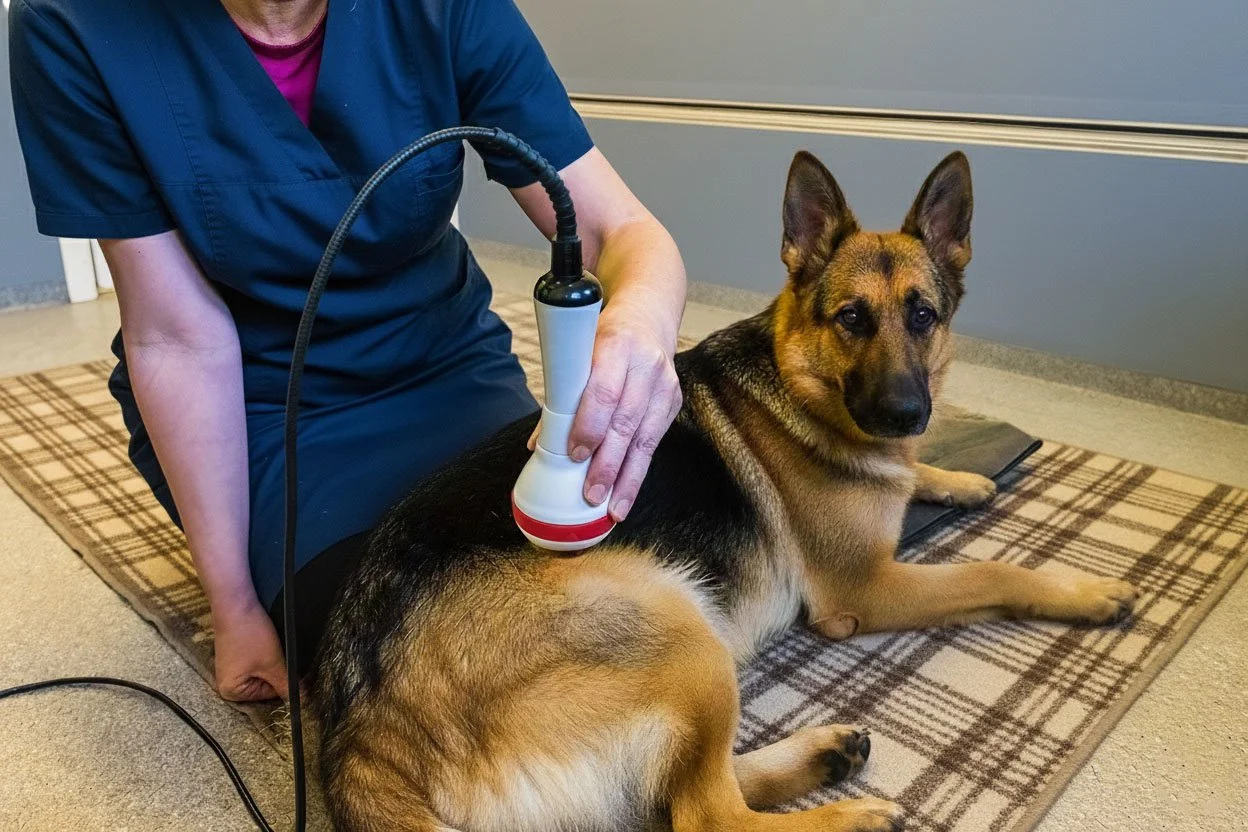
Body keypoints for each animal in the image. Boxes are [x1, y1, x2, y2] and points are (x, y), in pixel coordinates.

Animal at [311, 150, 1139, 831]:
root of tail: (362, 726)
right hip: (680, 629)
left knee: (669, 795)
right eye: (851, 319)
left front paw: (958, 477)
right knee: (704, 815)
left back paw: (825, 755)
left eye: (923, 316)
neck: (798, 385)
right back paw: (844, 816)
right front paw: (1085, 591)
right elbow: (992, 572)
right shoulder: (868, 588)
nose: (908, 411)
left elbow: (920, 473)